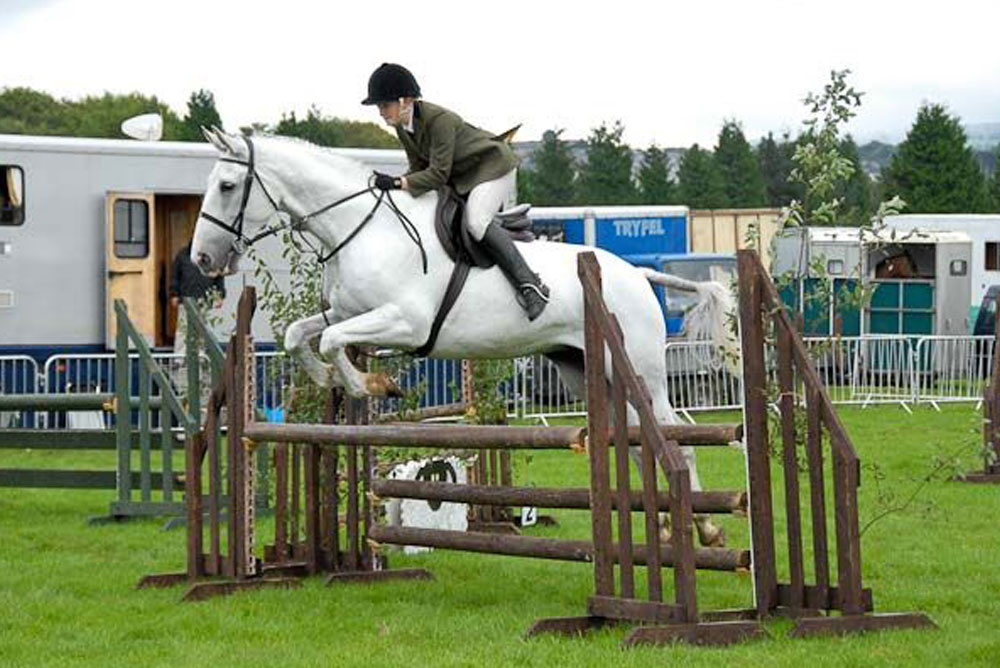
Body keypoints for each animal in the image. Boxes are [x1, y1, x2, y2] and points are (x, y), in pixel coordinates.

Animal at [191, 128, 739, 547]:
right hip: (586, 372)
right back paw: (666, 526)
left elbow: (329, 341)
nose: (201, 260)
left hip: (641, 371)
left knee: (675, 439)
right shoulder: (346, 311)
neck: (361, 229)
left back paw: (706, 528)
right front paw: (335, 380)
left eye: (226, 185)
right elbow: (297, 335)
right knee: (637, 442)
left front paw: (370, 384)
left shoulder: (404, 321)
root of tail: (638, 275)